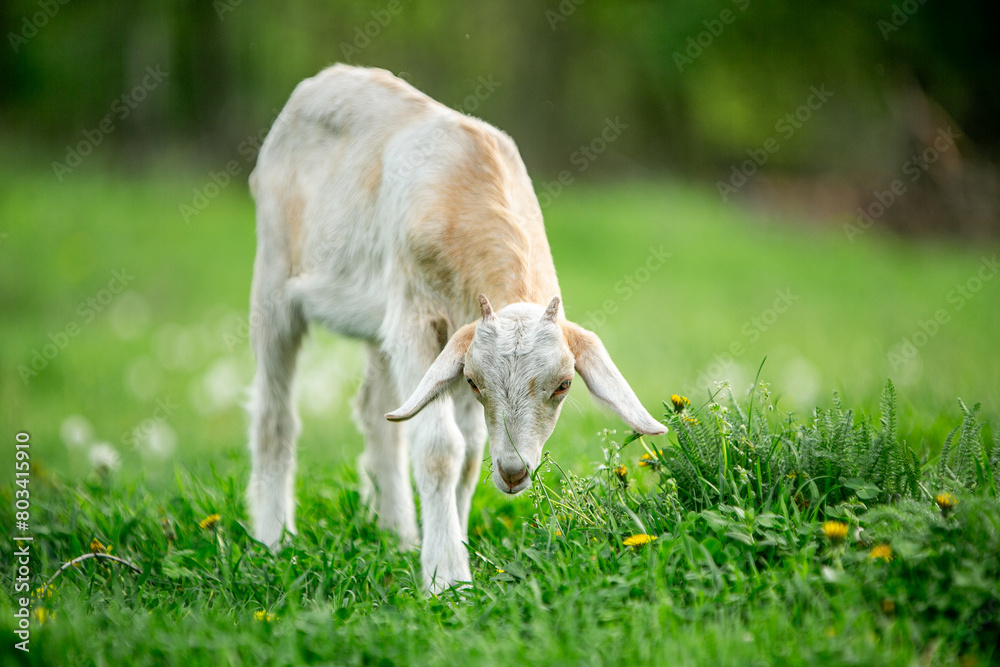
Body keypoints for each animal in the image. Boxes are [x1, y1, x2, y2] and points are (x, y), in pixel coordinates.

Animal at [247, 64, 666, 593]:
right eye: (474, 381)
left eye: (563, 386)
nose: (513, 472)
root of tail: (323, 80)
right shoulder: (418, 322)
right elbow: (440, 450)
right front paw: (445, 576)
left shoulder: (451, 335)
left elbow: (467, 457)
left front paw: (451, 551)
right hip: (275, 271)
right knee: (274, 412)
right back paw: (272, 537)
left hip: (378, 322)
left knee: (378, 413)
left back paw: (399, 534)